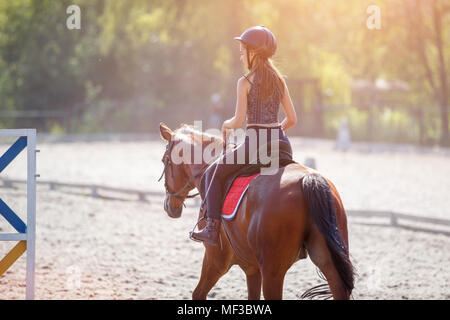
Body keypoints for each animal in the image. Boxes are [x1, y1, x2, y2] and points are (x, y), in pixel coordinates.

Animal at [158, 123, 356, 300]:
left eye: (164, 160)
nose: (169, 206)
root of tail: (308, 178)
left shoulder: (216, 259)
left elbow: (198, 294)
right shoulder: (252, 268)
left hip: (272, 271)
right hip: (327, 260)